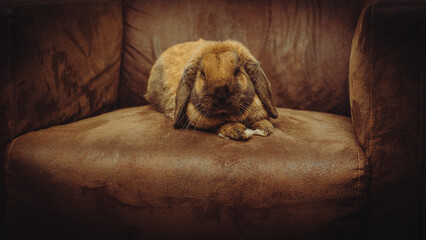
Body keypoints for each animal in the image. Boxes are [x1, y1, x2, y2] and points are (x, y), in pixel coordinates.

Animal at [146, 39, 280, 141]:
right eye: (203, 74)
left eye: (236, 71)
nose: (221, 95)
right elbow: (219, 124)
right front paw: (237, 130)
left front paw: (265, 128)